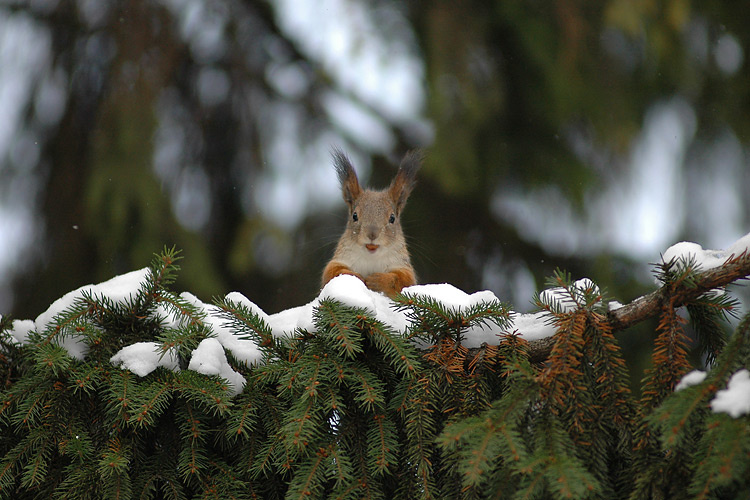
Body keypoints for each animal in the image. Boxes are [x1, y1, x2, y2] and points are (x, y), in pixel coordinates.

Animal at [321, 148, 422, 297]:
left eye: (392, 218)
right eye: (354, 216)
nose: (372, 234)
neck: (371, 257)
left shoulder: (403, 266)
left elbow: (403, 280)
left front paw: (379, 280)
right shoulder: (339, 259)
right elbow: (331, 272)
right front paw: (355, 276)